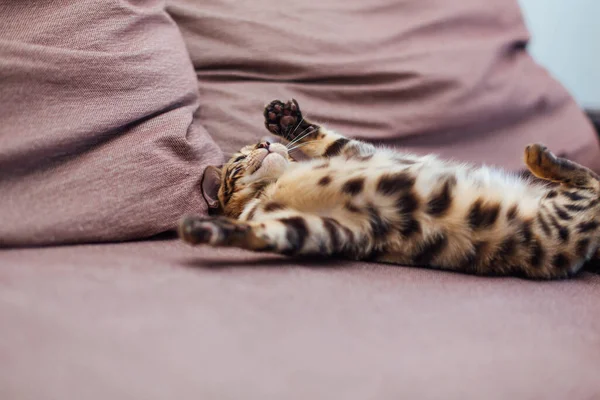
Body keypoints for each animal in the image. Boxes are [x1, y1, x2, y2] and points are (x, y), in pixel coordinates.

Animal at [179, 98, 600, 280]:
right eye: (239, 160)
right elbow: (260, 233)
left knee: (591, 177)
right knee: (591, 182)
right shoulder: (332, 227)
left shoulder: (359, 154)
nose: (266, 144)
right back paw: (539, 158)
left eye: (255, 145)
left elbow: (326, 137)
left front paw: (286, 120)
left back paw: (539, 157)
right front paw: (207, 230)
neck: (275, 186)